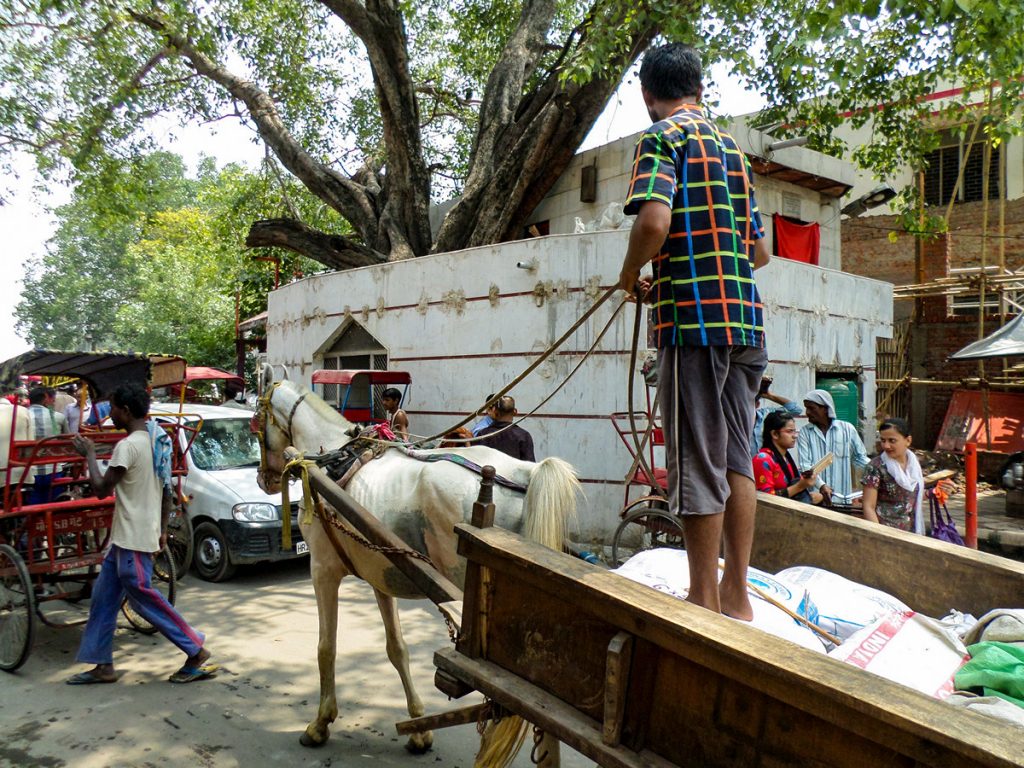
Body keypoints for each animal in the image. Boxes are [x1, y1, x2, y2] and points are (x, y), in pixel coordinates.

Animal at [252, 378, 581, 757]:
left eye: (256, 419)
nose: (263, 480)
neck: (330, 458)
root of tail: (526, 472)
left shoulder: (322, 570)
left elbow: (326, 648)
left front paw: (320, 724)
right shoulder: (380, 571)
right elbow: (397, 648)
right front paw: (419, 729)